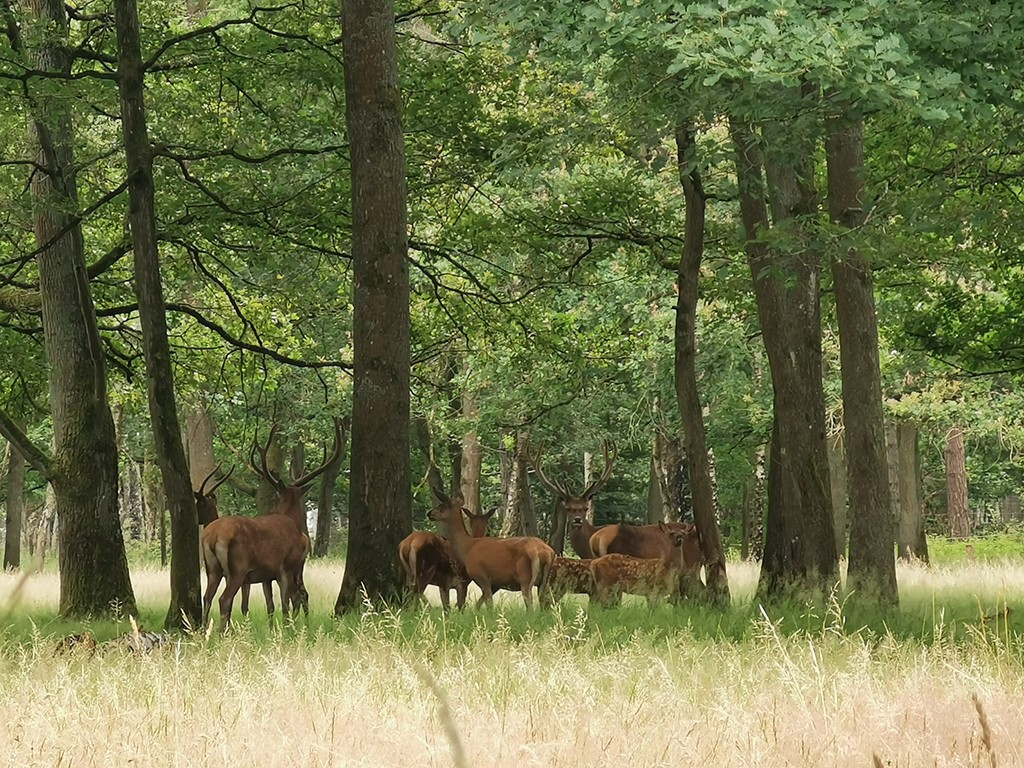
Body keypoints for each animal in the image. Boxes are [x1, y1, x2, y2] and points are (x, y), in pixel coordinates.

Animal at [199, 415, 344, 630]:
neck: (293, 523)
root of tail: (213, 535)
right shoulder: (286, 566)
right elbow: (286, 602)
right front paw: (287, 629)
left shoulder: (268, 574)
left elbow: (274, 604)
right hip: (237, 568)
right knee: (224, 599)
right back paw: (222, 632)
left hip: (212, 569)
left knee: (207, 597)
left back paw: (200, 631)